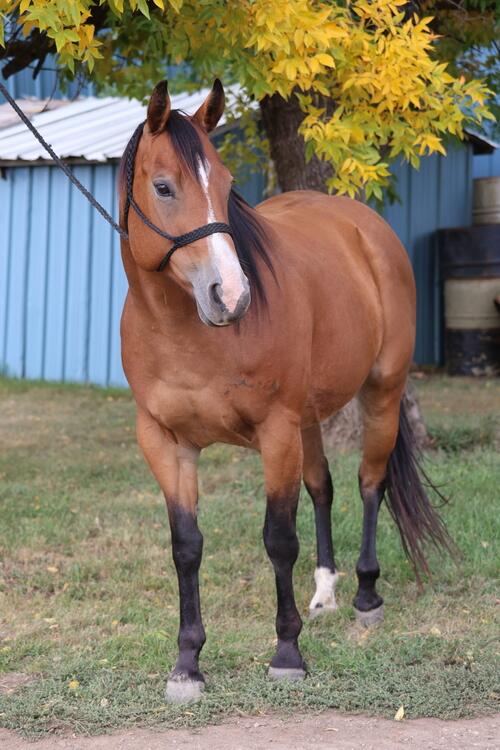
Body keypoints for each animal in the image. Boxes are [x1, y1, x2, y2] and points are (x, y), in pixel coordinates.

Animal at [119, 79, 452, 703]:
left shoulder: (274, 432)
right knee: (323, 488)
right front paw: (187, 664)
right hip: (309, 418)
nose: (231, 296)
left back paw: (366, 594)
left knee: (370, 484)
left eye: (227, 186)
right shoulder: (166, 443)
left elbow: (278, 539)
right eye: (163, 186)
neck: (184, 332)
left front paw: (287, 653)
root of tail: (363, 227)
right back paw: (325, 592)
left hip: (381, 392)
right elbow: (186, 545)